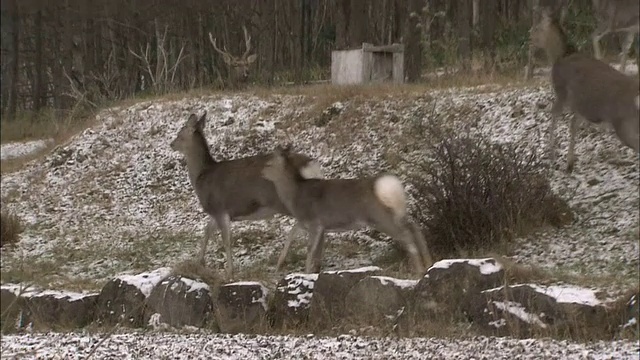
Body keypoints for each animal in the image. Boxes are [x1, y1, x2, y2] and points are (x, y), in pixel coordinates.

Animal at [170, 112, 322, 278]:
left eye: (180, 134)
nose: (171, 144)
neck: (201, 176)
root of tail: (311, 165)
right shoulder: (218, 212)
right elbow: (207, 230)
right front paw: (199, 262)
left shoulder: (219, 208)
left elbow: (226, 240)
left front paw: (229, 271)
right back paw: (315, 265)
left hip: (286, 201)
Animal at [262, 145, 436, 278]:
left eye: (269, 163)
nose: (261, 172)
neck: (295, 197)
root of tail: (387, 188)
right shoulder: (310, 224)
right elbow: (293, 235)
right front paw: (280, 265)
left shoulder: (315, 222)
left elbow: (310, 249)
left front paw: (305, 274)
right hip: (396, 213)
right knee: (415, 227)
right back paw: (428, 264)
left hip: (379, 218)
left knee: (407, 234)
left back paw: (419, 270)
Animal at [528, 9, 640, 173]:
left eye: (537, 28)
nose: (529, 39)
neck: (559, 57)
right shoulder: (580, 106)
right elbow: (573, 125)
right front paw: (569, 163)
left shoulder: (561, 91)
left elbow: (555, 116)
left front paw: (552, 156)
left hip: (624, 123)